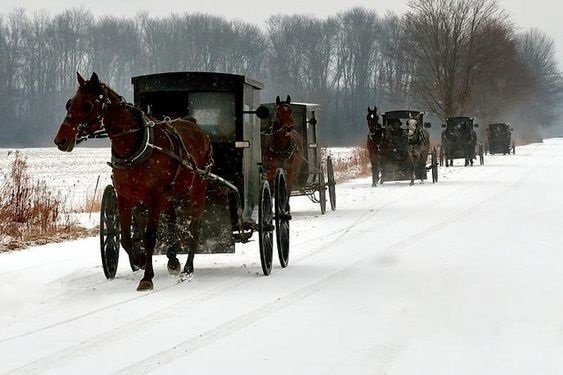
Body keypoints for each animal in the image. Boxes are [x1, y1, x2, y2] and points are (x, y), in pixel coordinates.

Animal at [53, 72, 212, 290]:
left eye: (87, 105)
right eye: (69, 103)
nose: (61, 140)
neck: (134, 148)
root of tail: (195, 125)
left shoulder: (154, 198)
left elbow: (150, 236)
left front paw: (147, 278)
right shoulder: (125, 197)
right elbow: (126, 239)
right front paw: (140, 259)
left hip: (197, 189)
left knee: (194, 227)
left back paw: (188, 267)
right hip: (169, 195)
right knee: (172, 219)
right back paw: (173, 260)